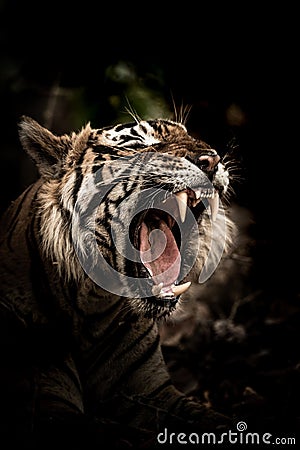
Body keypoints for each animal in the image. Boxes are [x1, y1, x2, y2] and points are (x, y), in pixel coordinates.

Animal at [0, 117, 234, 450]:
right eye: (138, 143)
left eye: (189, 134)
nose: (212, 161)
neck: (91, 304)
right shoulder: (49, 407)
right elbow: (122, 435)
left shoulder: (154, 393)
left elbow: (213, 420)